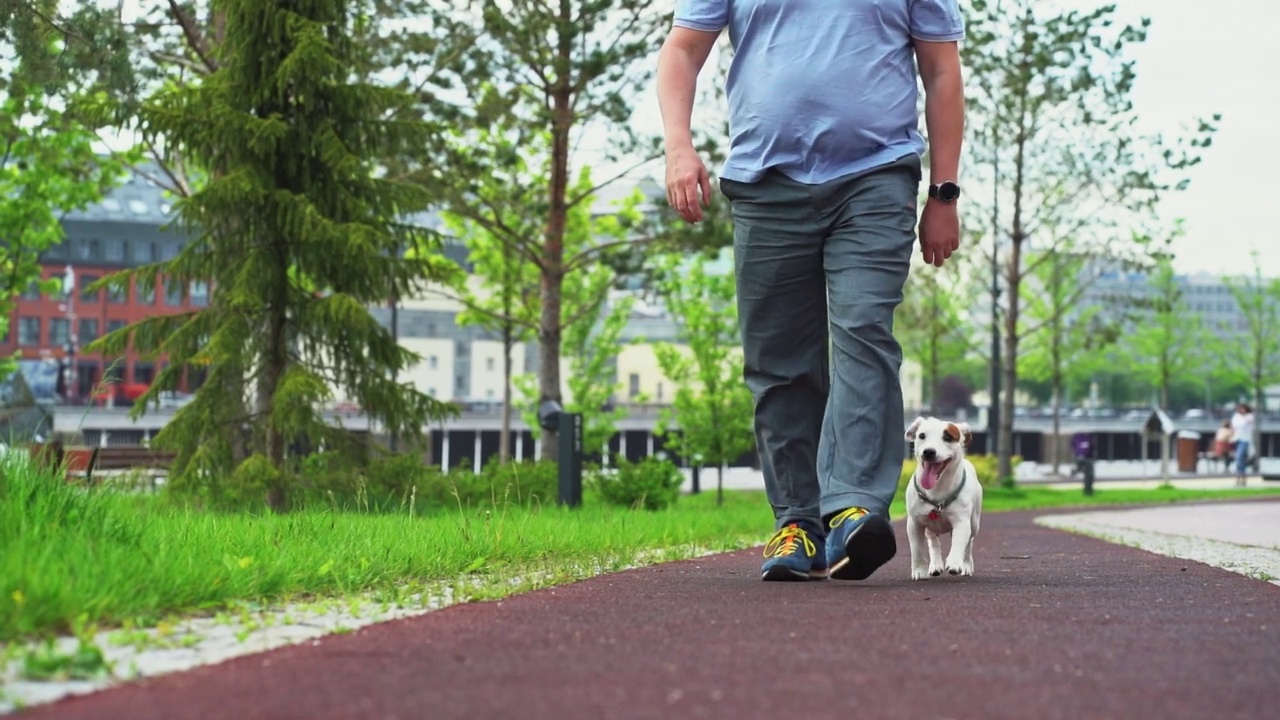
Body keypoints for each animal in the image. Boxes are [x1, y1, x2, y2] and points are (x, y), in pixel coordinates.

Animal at [906, 415, 983, 576]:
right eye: (921, 435)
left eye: (948, 437)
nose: (929, 452)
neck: (937, 488)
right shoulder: (914, 522)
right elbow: (916, 549)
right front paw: (919, 570)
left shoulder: (961, 520)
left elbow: (959, 542)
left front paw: (954, 563)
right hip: (929, 526)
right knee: (933, 541)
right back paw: (935, 565)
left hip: (974, 522)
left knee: (969, 543)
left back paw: (966, 564)